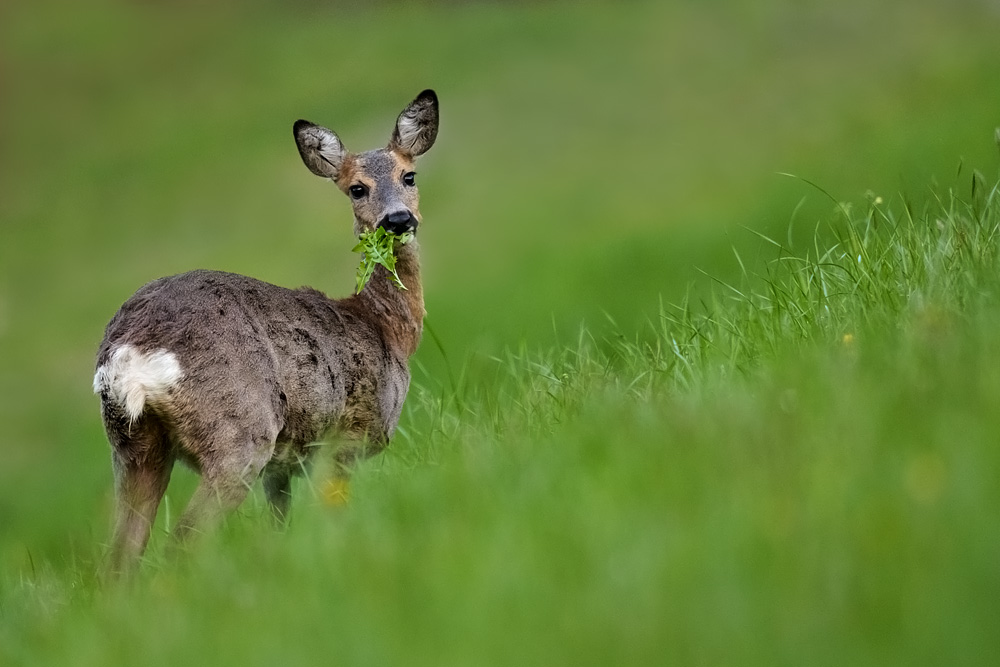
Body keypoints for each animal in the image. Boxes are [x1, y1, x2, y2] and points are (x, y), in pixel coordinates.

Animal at [93, 87, 438, 576]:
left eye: (409, 175)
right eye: (357, 188)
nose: (398, 219)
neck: (386, 329)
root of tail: (130, 352)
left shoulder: (283, 466)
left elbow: (281, 525)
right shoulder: (346, 439)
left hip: (132, 446)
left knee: (120, 559)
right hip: (239, 434)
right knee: (184, 540)